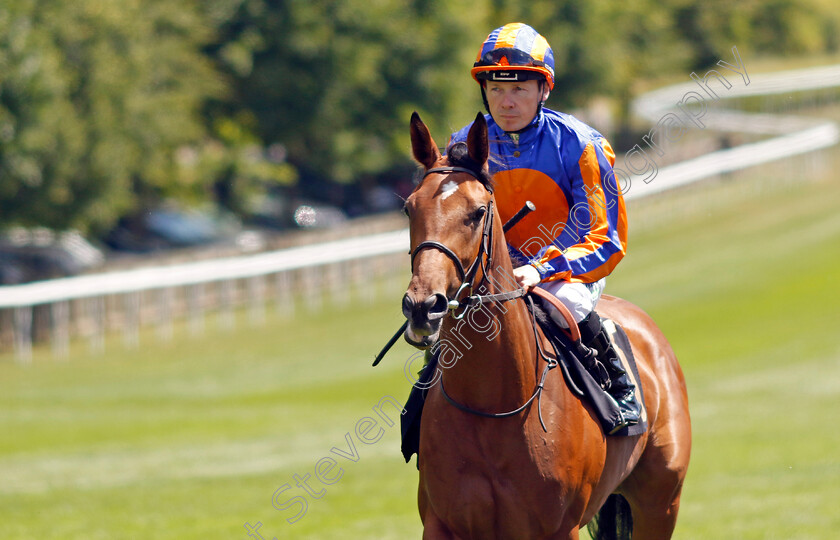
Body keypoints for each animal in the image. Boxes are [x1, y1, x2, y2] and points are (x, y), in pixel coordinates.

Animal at [404, 110, 692, 540]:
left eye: (477, 212)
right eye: (409, 208)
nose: (423, 306)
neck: (491, 407)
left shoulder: (559, 527)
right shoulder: (442, 524)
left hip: (660, 502)